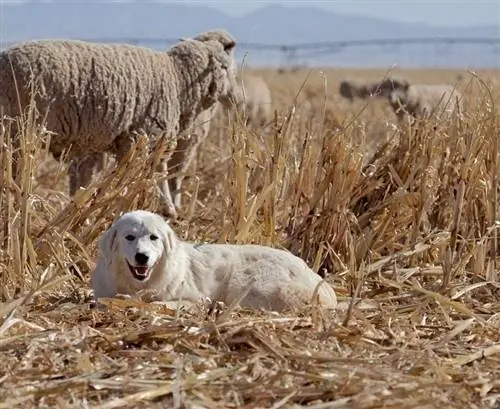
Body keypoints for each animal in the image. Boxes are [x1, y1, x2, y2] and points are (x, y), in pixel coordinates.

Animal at [0, 27, 239, 220]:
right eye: (227, 67)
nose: (235, 98)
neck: (178, 78)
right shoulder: (147, 136)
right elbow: (154, 173)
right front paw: (165, 210)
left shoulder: (98, 144)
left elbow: (86, 181)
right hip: (18, 133)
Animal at [92, 210, 338, 312]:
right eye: (129, 237)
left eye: (154, 238)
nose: (142, 257)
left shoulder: (195, 298)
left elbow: (157, 304)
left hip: (253, 287)